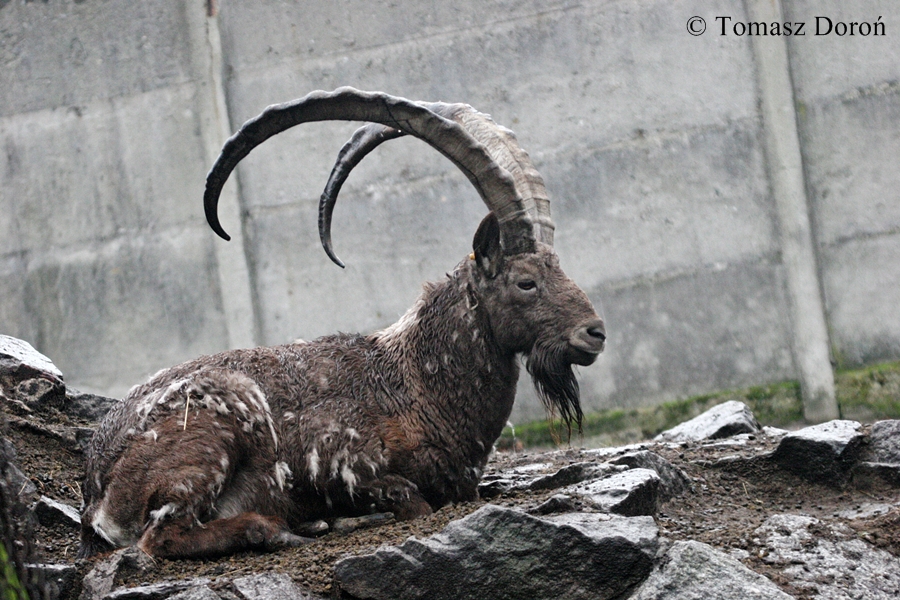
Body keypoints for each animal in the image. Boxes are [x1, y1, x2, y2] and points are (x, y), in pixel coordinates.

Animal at [78, 88, 606, 559]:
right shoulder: (337, 460)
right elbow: (405, 496)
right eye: (525, 281)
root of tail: (96, 492)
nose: (594, 333)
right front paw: (344, 516)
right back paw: (283, 529)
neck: (416, 382)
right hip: (219, 418)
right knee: (163, 537)